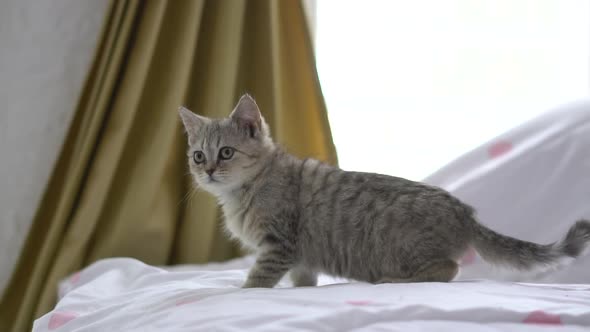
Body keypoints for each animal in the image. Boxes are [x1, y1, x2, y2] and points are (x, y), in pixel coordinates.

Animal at [179, 93, 590, 288]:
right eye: (198, 156)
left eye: (226, 152)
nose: (209, 170)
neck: (246, 190)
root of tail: (464, 212)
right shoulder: (300, 257)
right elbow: (303, 279)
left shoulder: (278, 245)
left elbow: (257, 279)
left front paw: (241, 292)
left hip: (403, 248)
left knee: (449, 269)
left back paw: (395, 280)